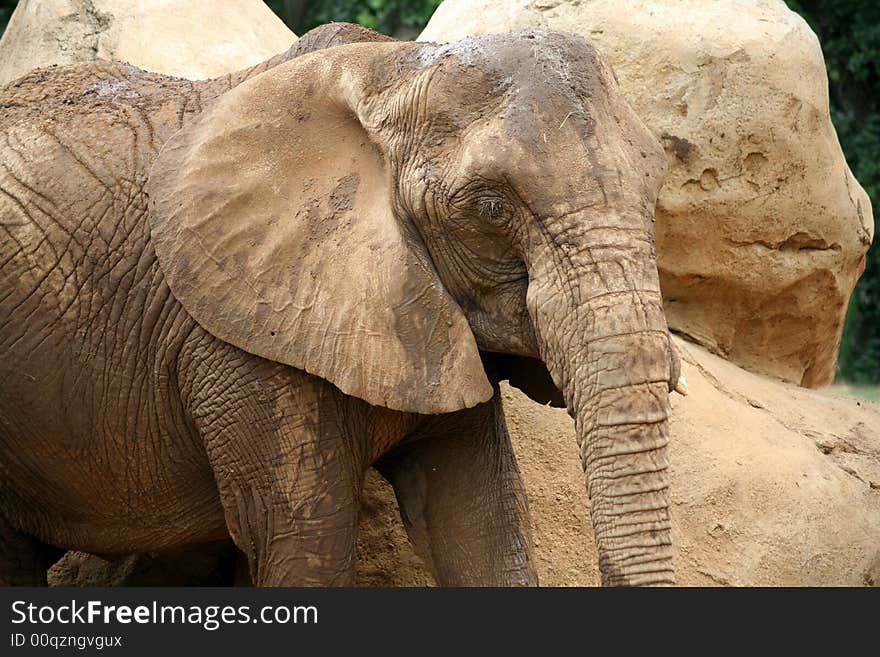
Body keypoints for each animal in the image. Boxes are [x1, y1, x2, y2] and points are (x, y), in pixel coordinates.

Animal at [0, 21, 684, 584]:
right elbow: (306, 543)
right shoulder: (246, 335)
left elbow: (479, 523)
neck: (390, 69)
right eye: (490, 207)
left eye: (653, 188)